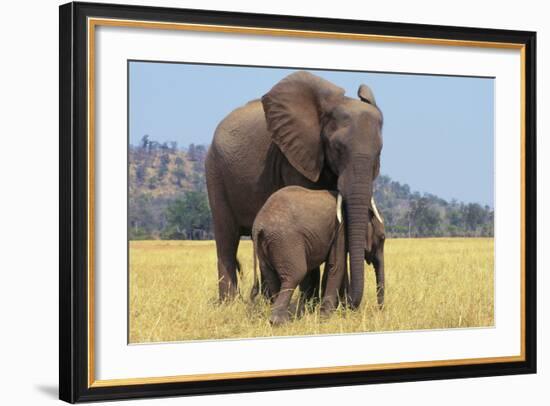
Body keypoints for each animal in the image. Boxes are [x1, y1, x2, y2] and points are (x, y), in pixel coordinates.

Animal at [207, 70, 384, 308]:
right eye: (337, 148)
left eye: (379, 153)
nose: (349, 303)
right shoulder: (294, 157)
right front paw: (310, 305)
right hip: (215, 172)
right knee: (227, 240)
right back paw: (229, 304)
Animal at [252, 186, 386, 326]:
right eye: (382, 238)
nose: (380, 310)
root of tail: (258, 226)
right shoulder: (340, 229)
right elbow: (337, 266)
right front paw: (325, 317)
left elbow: (334, 268)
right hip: (286, 241)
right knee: (295, 275)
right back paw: (280, 321)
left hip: (266, 246)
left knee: (271, 276)